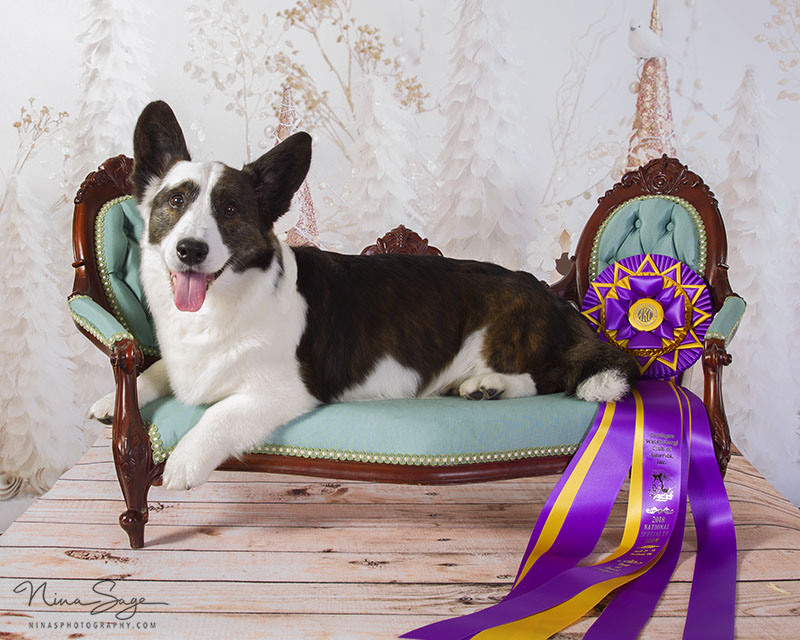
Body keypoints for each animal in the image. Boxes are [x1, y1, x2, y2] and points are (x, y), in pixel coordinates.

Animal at [89, 100, 639, 490]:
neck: (220, 308)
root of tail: (554, 298)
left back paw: (491, 386)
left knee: (555, 376)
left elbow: (219, 415)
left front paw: (183, 461)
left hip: (501, 326)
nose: (190, 250)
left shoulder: (281, 392)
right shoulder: (182, 362)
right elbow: (153, 369)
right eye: (175, 201)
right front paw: (109, 400)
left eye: (229, 209)